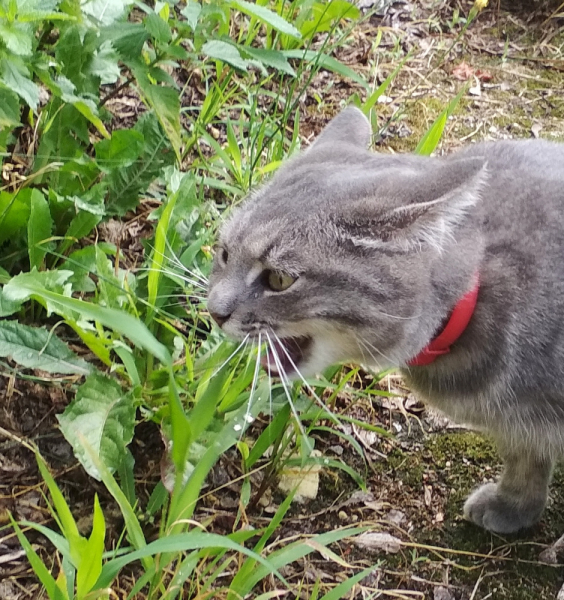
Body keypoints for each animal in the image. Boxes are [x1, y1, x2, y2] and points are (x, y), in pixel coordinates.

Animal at [206, 108, 564, 536]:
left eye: (279, 279)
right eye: (225, 253)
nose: (213, 311)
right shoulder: (521, 429)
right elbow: (525, 454)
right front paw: (514, 504)